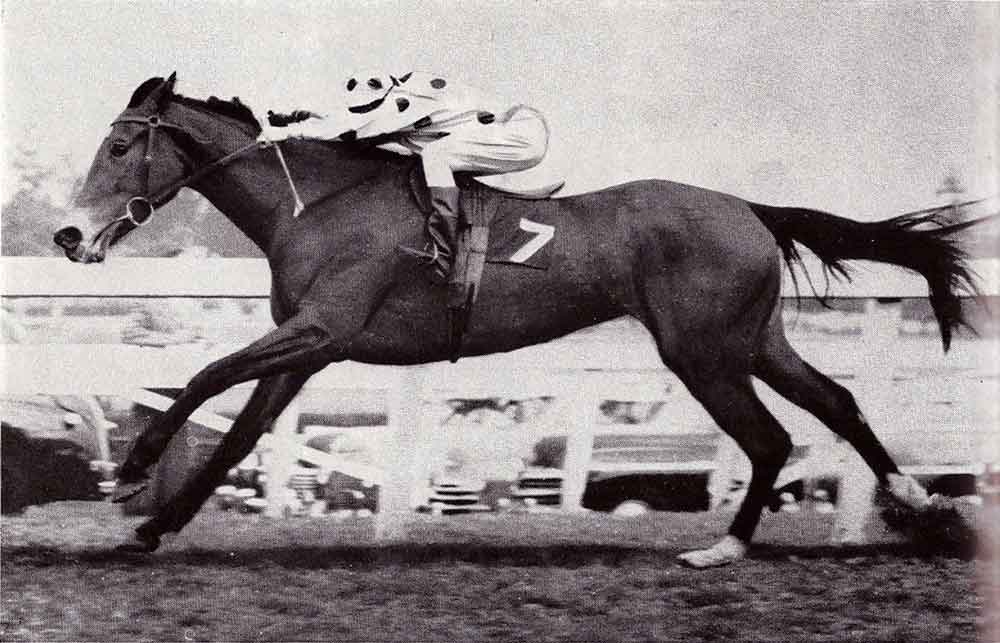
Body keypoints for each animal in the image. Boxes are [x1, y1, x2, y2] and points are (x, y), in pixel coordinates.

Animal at [52, 75, 976, 568]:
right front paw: (150, 529)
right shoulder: (309, 348)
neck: (314, 202)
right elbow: (239, 434)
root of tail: (749, 208)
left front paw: (132, 471)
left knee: (770, 438)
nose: (67, 235)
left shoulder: (322, 328)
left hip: (701, 351)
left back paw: (726, 546)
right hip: (755, 340)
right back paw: (916, 499)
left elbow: (204, 374)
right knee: (835, 404)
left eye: (121, 148)